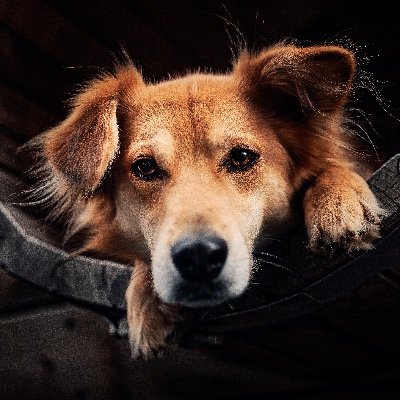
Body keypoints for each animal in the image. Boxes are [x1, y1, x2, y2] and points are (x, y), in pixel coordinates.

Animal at [24, 43, 384, 360]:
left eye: (241, 157)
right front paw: (146, 299)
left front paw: (339, 201)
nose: (197, 256)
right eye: (145, 167)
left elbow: (332, 167)